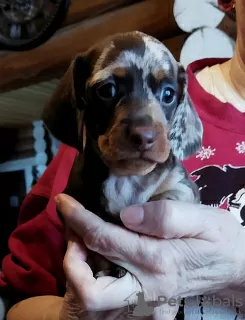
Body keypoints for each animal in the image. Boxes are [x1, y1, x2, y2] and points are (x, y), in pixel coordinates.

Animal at [41, 31, 203, 278]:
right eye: (107, 90)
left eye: (168, 94)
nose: (144, 136)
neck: (126, 176)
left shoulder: (185, 188)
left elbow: (164, 197)